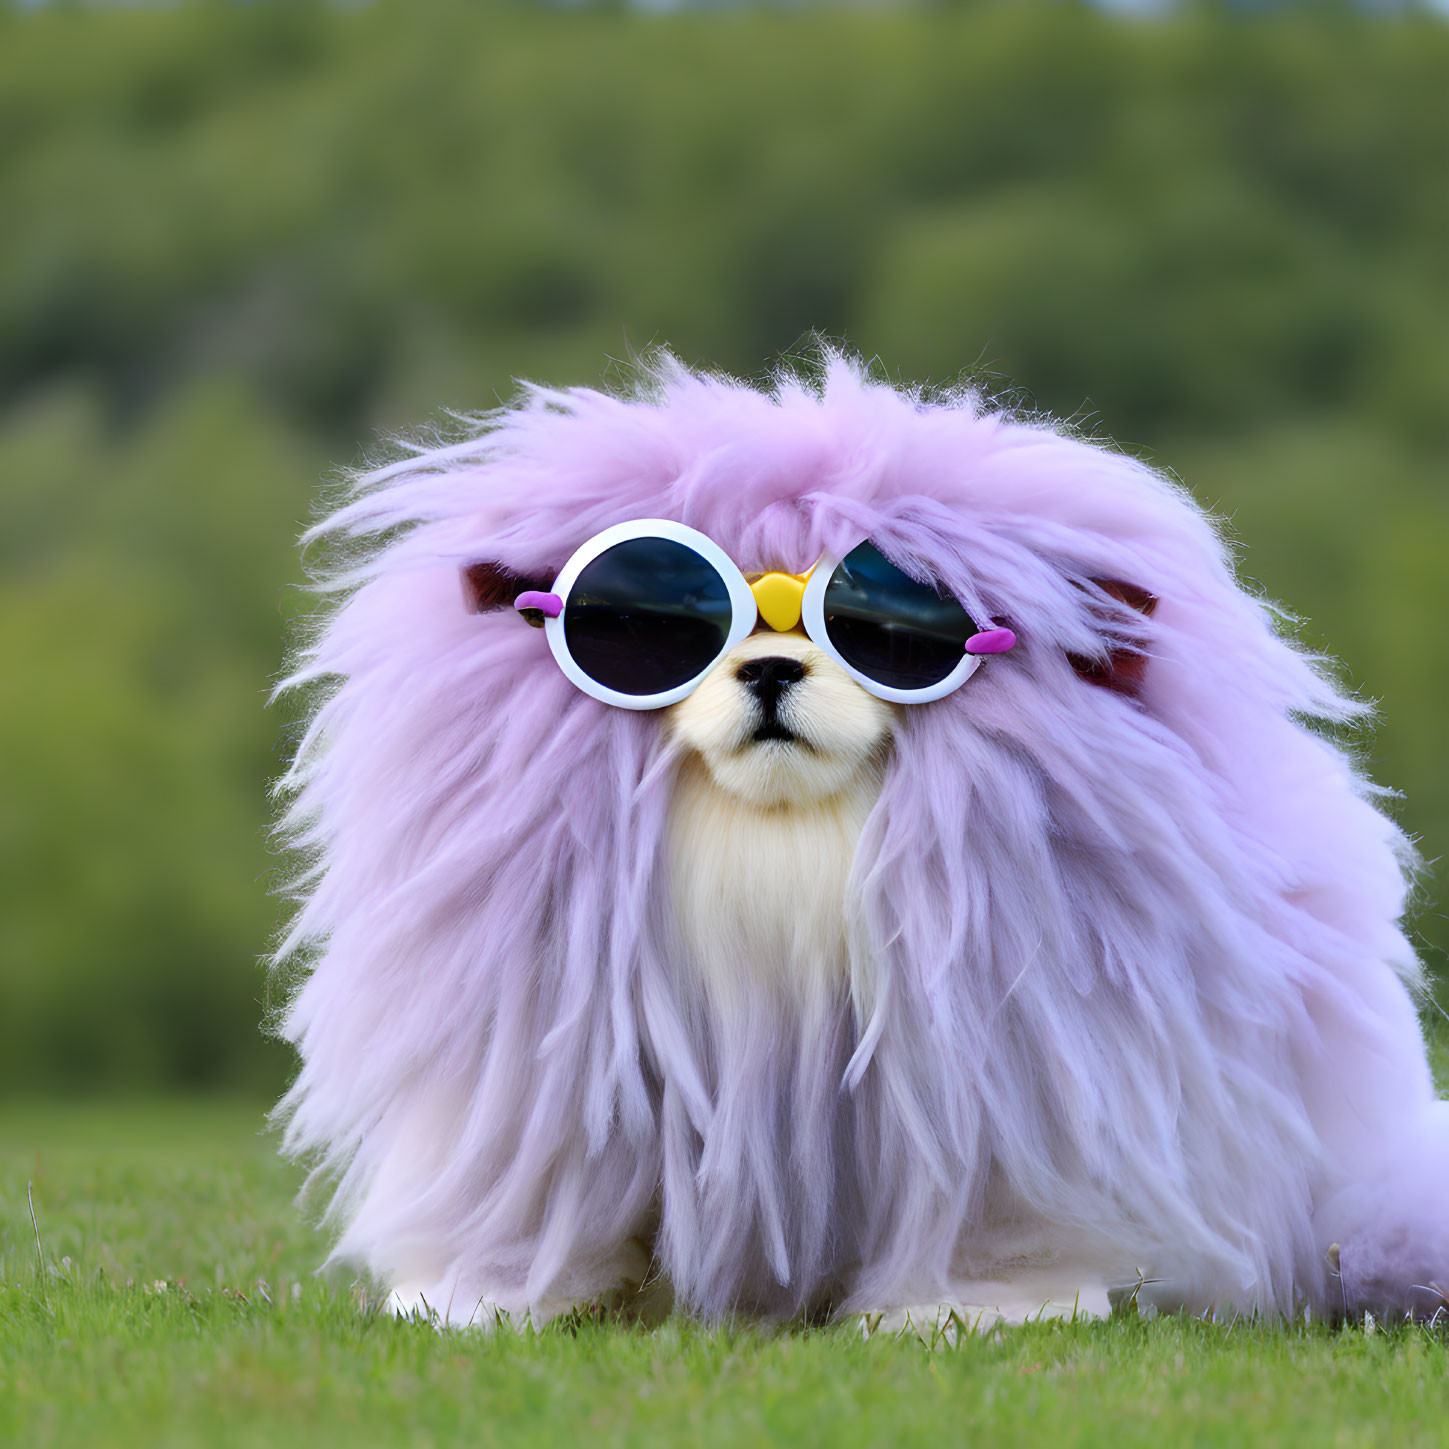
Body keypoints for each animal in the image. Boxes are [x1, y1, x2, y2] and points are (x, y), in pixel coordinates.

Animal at [272, 356, 1449, 1327]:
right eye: (663, 624)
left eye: (887, 631)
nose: (770, 666)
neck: (781, 839)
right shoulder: (558, 1072)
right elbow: (548, 1194)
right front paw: (487, 1296)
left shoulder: (1003, 1078)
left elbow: (997, 1223)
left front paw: (979, 1309)